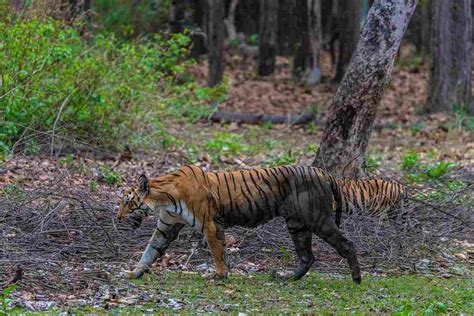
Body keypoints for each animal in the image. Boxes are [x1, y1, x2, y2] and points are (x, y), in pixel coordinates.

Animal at [116, 165, 362, 284]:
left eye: (127, 202)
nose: (117, 218)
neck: (163, 199)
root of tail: (323, 172)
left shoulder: (211, 224)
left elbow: (217, 252)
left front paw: (219, 276)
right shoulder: (166, 227)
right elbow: (150, 251)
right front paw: (134, 273)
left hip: (317, 219)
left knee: (347, 244)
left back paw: (356, 280)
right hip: (297, 225)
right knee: (307, 257)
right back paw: (286, 278)